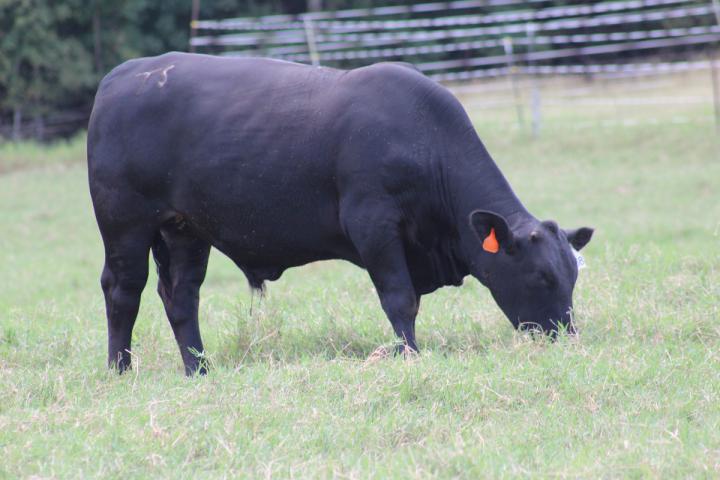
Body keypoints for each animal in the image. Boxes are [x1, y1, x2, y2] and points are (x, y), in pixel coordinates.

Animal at [87, 52, 593, 375]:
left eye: (572, 275)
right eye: (541, 277)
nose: (567, 338)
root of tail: (123, 76)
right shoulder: (374, 225)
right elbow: (400, 299)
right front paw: (409, 356)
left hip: (185, 230)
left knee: (181, 296)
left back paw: (199, 368)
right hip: (124, 223)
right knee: (122, 291)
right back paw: (120, 369)